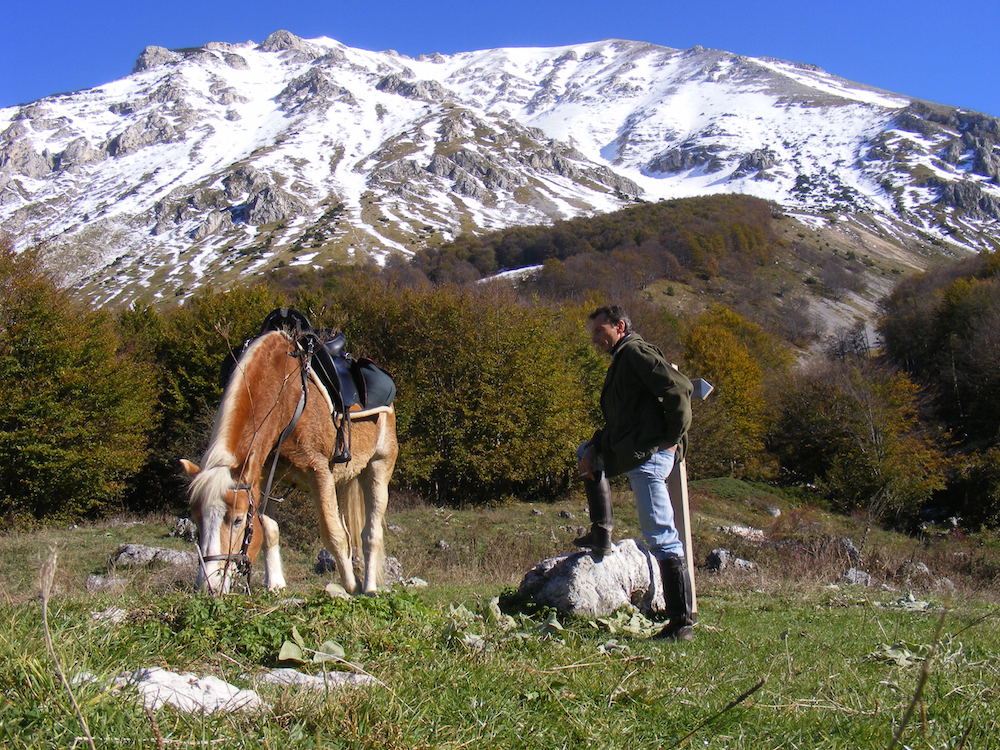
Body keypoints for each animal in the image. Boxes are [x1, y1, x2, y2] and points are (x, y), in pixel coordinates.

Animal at [180, 328, 398, 592]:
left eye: (237, 520)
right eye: (196, 518)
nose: (208, 585)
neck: (286, 392)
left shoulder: (318, 470)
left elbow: (332, 533)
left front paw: (351, 586)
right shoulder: (262, 476)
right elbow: (269, 529)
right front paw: (275, 583)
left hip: (379, 465)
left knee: (371, 533)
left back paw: (369, 587)